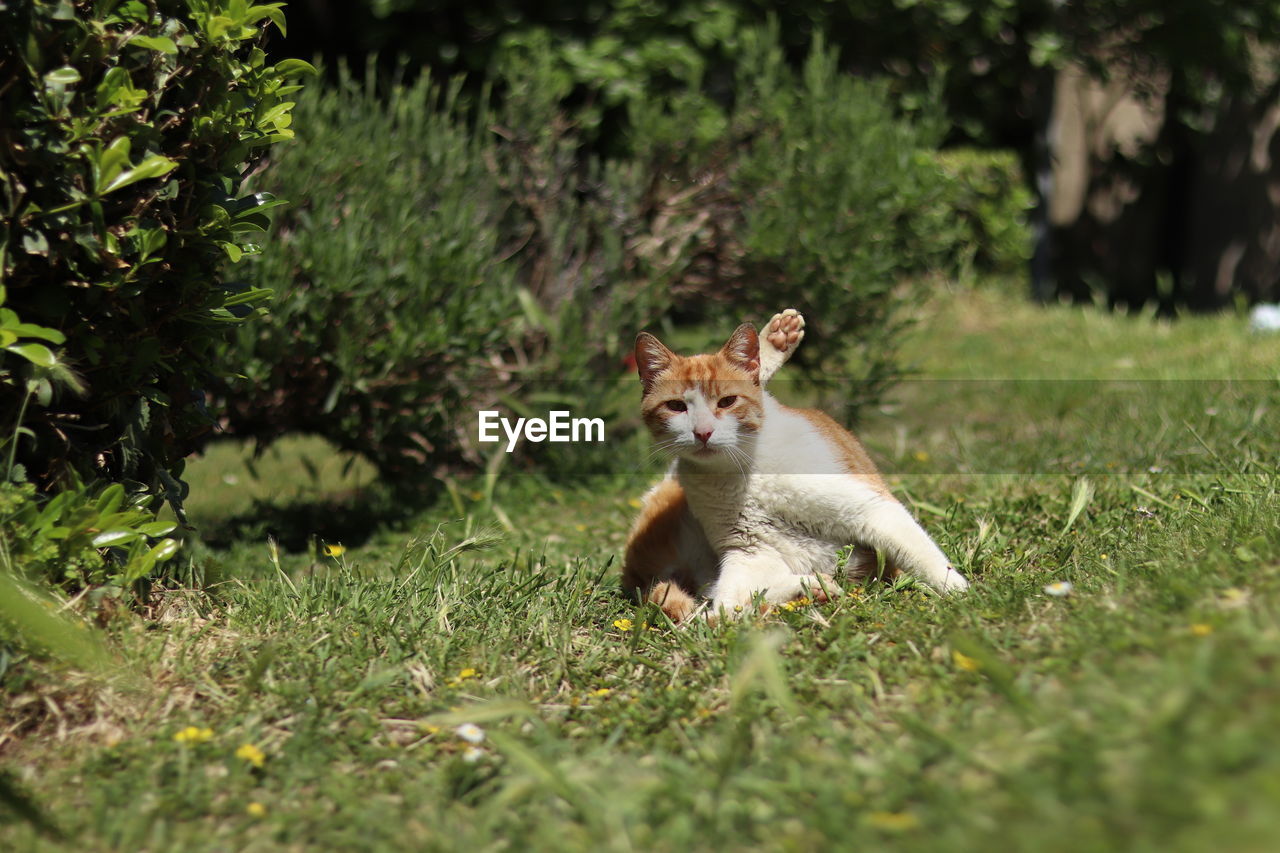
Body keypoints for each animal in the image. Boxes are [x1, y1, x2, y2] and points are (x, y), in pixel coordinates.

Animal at [622, 308, 967, 622]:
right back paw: (811, 589)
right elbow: (732, 605)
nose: (703, 432)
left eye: (727, 402)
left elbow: (925, 556)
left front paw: (961, 593)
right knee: (726, 604)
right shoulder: (749, 552)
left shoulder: (868, 509)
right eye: (676, 406)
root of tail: (635, 572)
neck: (742, 472)